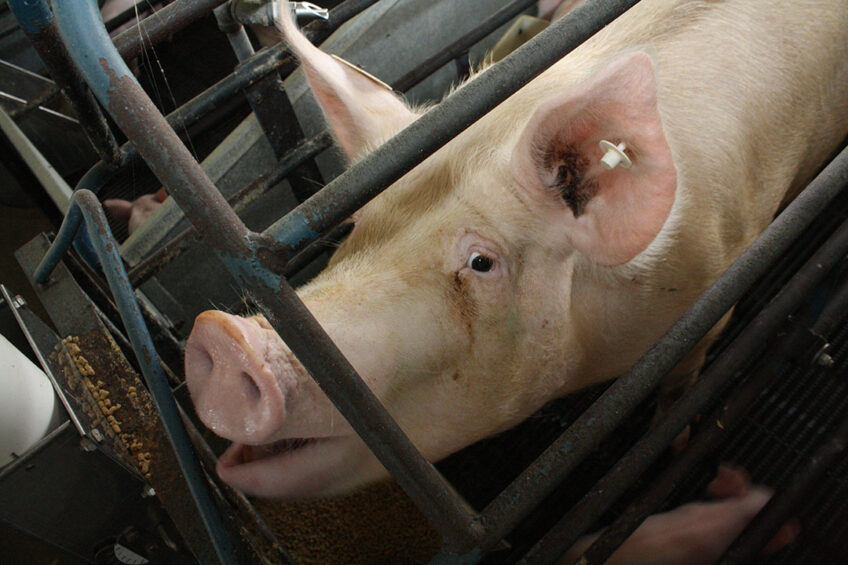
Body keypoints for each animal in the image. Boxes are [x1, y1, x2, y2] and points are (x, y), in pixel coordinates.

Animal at [186, 0, 848, 506]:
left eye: (482, 263)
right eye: (354, 225)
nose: (223, 337)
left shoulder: (712, 298)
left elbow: (679, 389)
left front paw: (674, 442)